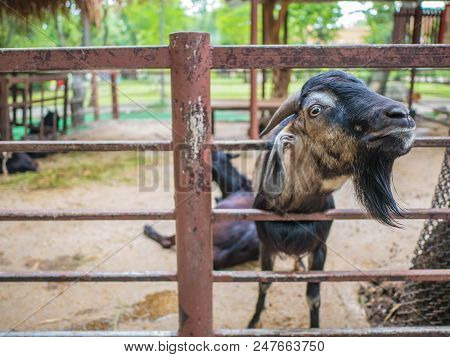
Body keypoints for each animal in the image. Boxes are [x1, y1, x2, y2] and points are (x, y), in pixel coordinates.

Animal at [248, 70, 416, 328]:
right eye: (315, 110)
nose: (402, 114)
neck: (294, 207)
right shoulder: (266, 245)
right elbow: (264, 284)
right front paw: (253, 321)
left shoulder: (320, 247)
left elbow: (313, 296)